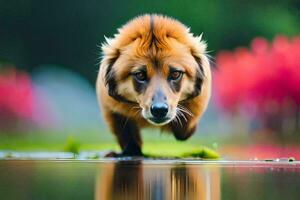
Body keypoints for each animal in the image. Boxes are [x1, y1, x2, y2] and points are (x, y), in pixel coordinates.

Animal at [96, 14, 211, 157]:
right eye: (140, 75)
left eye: (175, 74)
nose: (159, 110)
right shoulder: (112, 109)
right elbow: (127, 135)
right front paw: (129, 151)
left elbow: (185, 125)